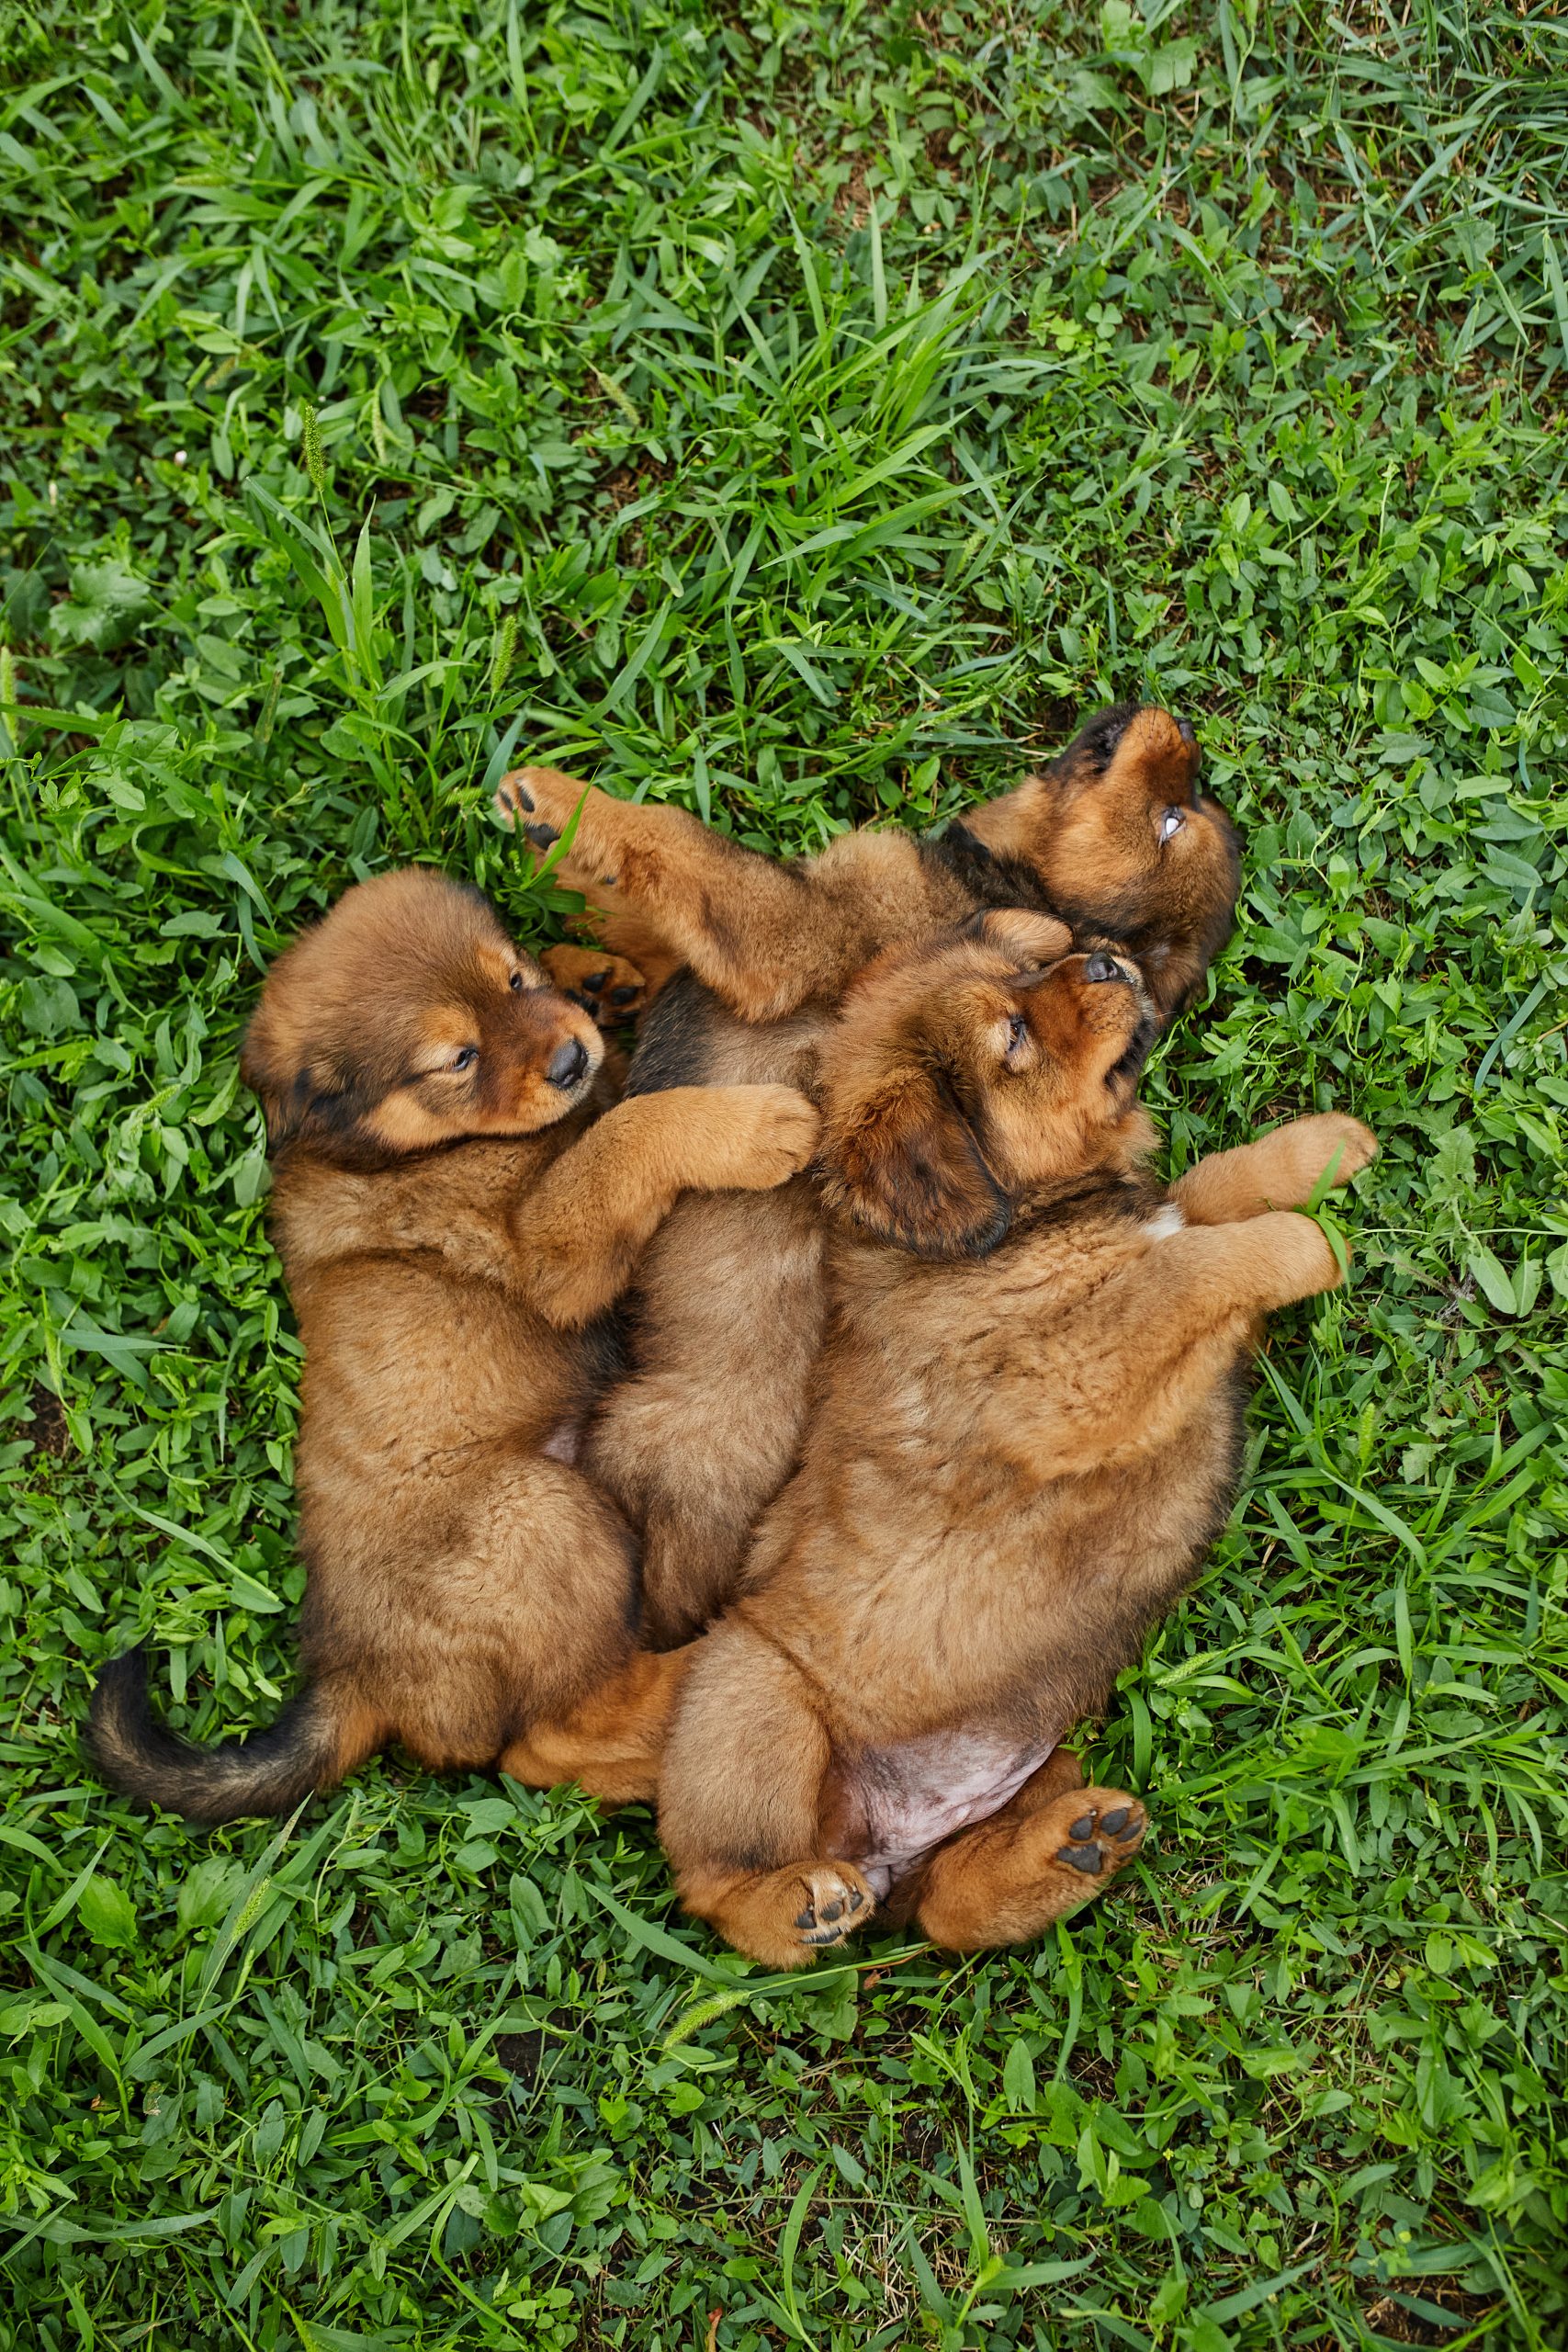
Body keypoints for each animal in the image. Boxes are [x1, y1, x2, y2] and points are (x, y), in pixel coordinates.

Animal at [85, 865, 822, 1815]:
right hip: (542, 1518)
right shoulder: (549, 1251)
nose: (571, 1060)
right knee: (545, 1739)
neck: (411, 1148)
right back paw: (707, 1676)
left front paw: (594, 974)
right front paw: (751, 1124)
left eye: (509, 980)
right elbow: (626, 1132)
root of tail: (354, 1674)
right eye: (458, 1060)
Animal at [495, 706, 1241, 1646]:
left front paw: (554, 804)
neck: (1012, 885)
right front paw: (593, 964)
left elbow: (687, 848)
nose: (1181, 724)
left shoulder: (786, 935)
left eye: (1175, 819)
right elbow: (646, 926)